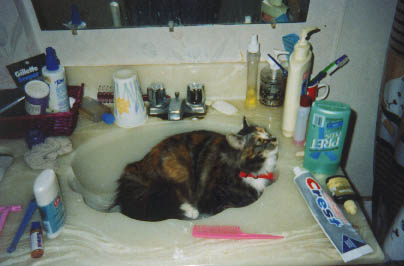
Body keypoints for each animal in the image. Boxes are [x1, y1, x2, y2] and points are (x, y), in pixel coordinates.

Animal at [113, 118, 278, 220]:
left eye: (266, 131)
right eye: (260, 141)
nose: (274, 138)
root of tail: (138, 165)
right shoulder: (211, 199)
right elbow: (235, 203)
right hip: (179, 173)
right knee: (162, 202)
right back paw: (191, 211)